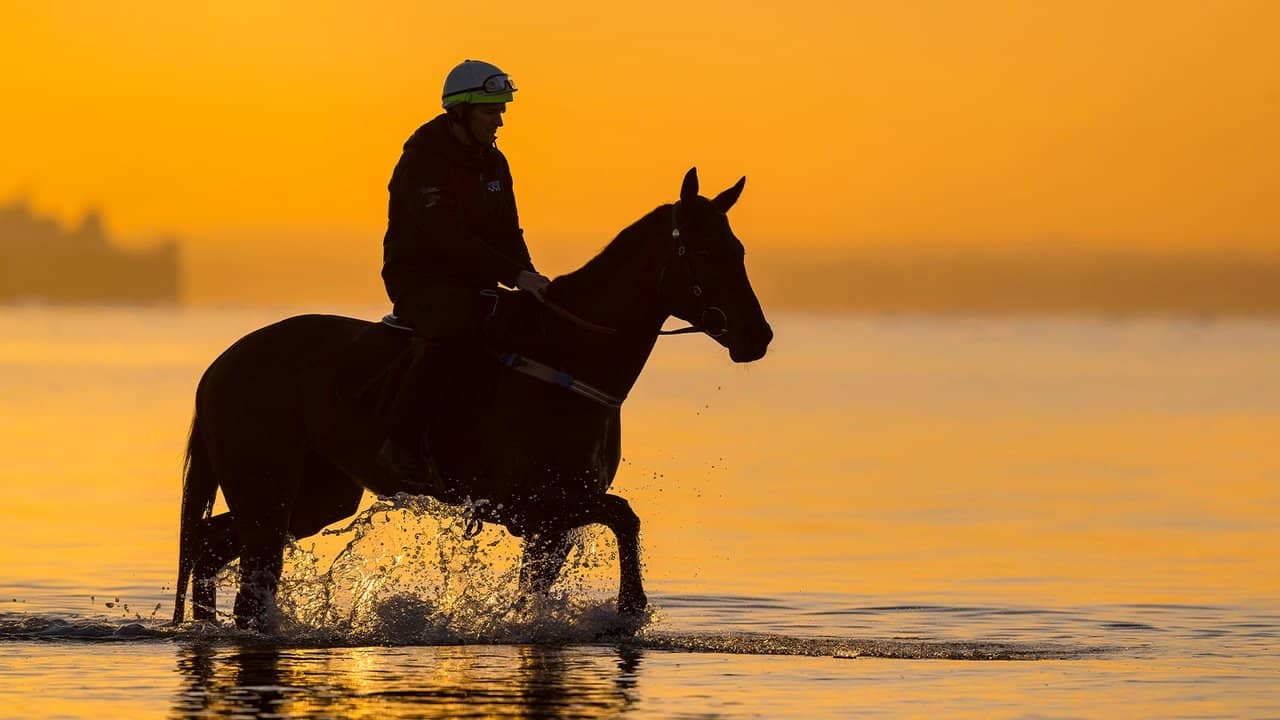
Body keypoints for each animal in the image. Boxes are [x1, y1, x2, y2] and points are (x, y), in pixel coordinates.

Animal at [171, 168, 774, 629]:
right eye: (704, 251)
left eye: (739, 250)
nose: (758, 336)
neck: (566, 353)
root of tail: (220, 367)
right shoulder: (534, 502)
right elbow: (626, 516)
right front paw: (630, 607)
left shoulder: (551, 522)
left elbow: (546, 582)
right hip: (267, 492)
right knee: (243, 579)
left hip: (317, 496)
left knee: (210, 545)